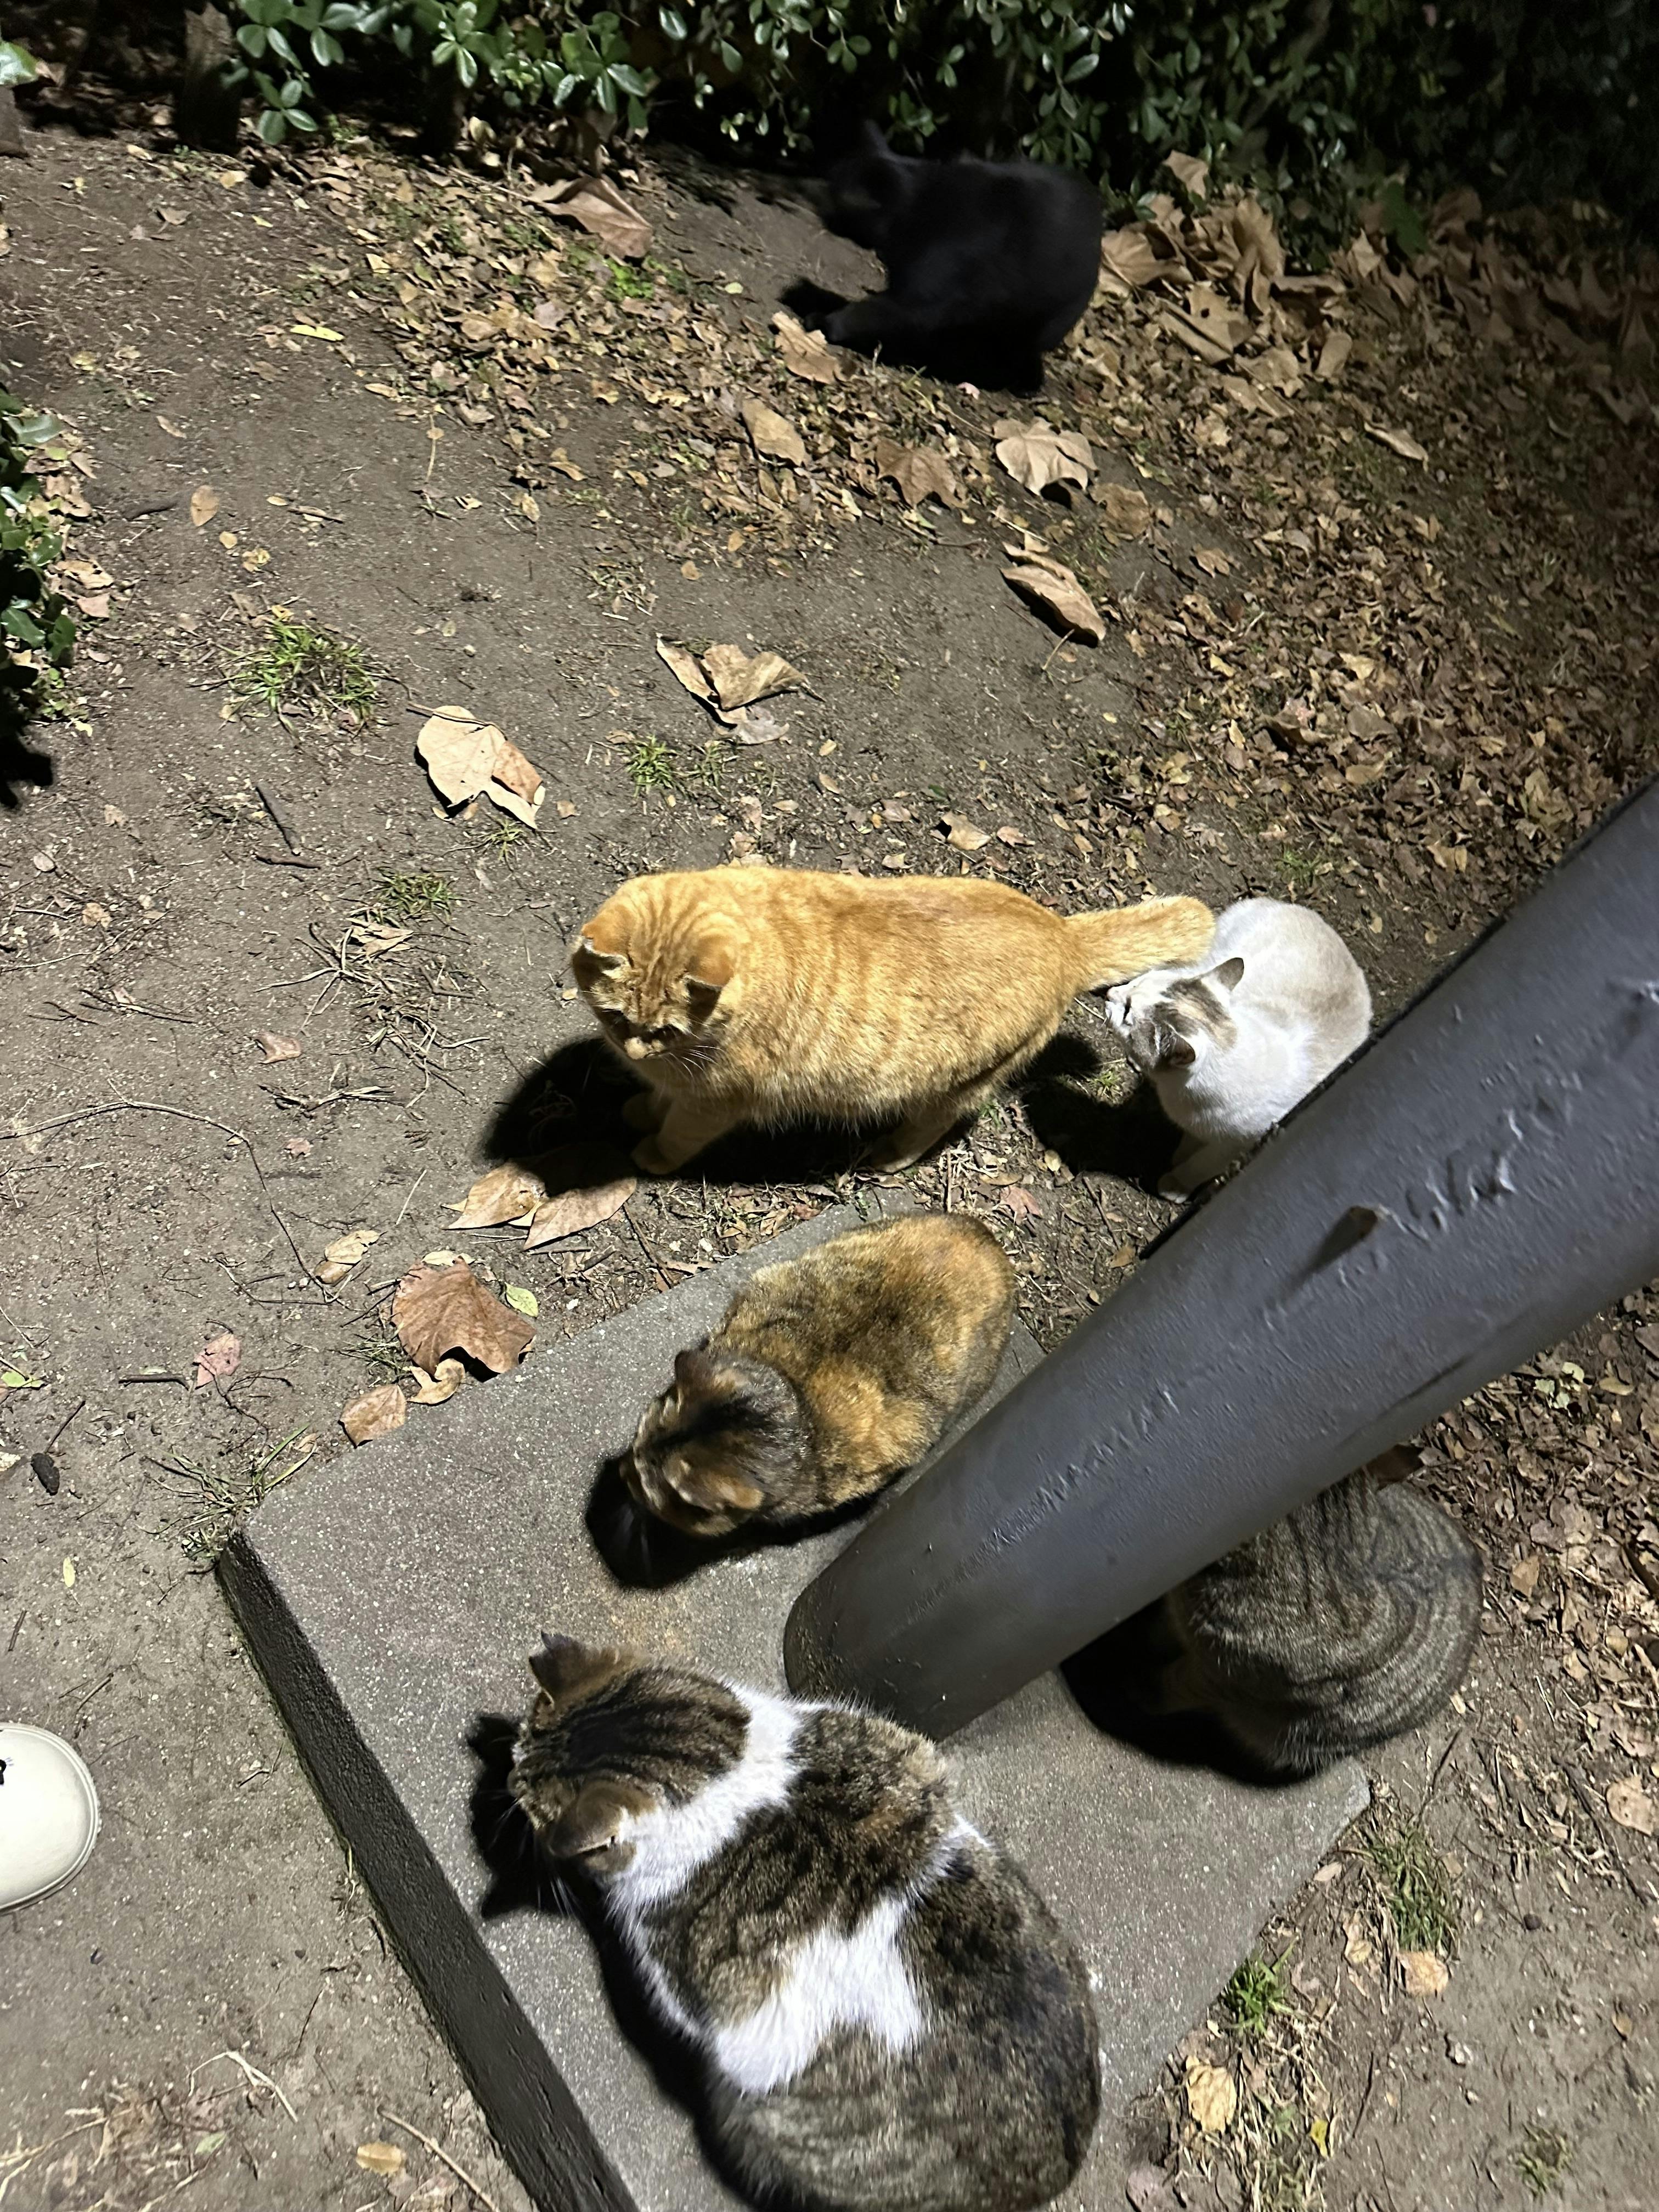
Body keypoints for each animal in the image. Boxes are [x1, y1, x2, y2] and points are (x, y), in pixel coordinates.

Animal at [572, 866, 1214, 1175]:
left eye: (667, 1032)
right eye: (616, 1019)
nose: (633, 1055)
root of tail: (1063, 935)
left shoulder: (713, 1103)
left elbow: (676, 1133)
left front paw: (651, 1151)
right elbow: (658, 1100)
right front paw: (640, 1106)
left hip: (948, 1091)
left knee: (933, 1128)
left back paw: (889, 1156)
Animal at [808, 120, 1103, 392]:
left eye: (835, 193)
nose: (812, 195)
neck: (919, 206)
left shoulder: (922, 296)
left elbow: (869, 313)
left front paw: (826, 323)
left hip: (1026, 325)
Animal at [1100, 896, 1371, 1196]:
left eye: (1127, 1012)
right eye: (1133, 985)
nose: (1111, 994)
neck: (1178, 1095)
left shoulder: (1235, 1147)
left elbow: (1199, 1166)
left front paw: (1176, 1183)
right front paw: (1180, 1157)